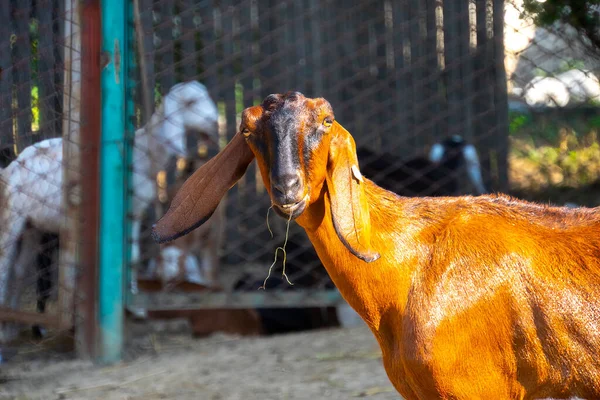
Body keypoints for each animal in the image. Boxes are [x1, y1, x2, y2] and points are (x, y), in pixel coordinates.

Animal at [0, 81, 219, 344]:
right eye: (190, 103)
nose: (215, 121)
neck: (141, 153)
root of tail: (12, 166)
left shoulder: (134, 213)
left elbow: (133, 256)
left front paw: (134, 307)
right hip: (12, 216)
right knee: (4, 264)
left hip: (32, 225)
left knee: (19, 271)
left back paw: (12, 328)